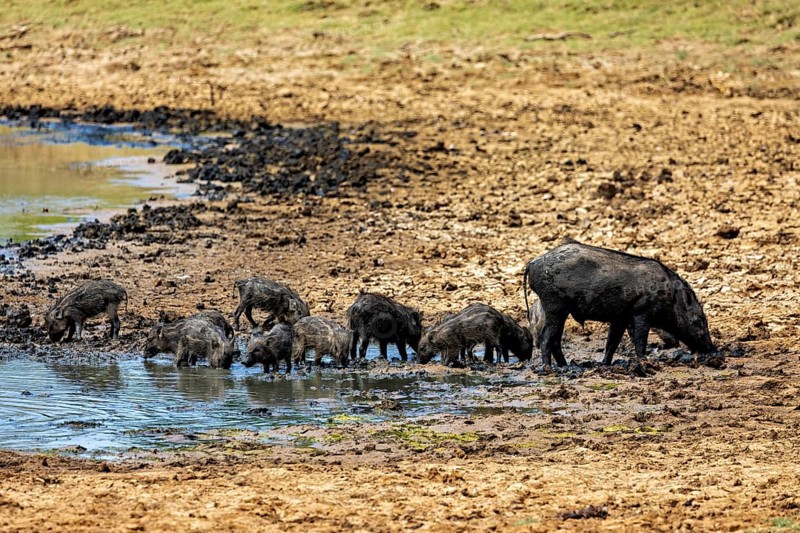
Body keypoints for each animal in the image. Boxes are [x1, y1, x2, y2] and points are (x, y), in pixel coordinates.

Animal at [523, 240, 716, 368]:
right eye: (699, 320)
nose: (713, 350)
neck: (670, 296)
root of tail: (532, 263)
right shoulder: (641, 312)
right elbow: (639, 339)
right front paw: (644, 362)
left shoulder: (620, 318)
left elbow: (612, 342)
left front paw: (605, 365)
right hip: (555, 304)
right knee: (546, 337)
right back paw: (549, 369)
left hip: (560, 309)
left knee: (555, 338)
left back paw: (566, 366)